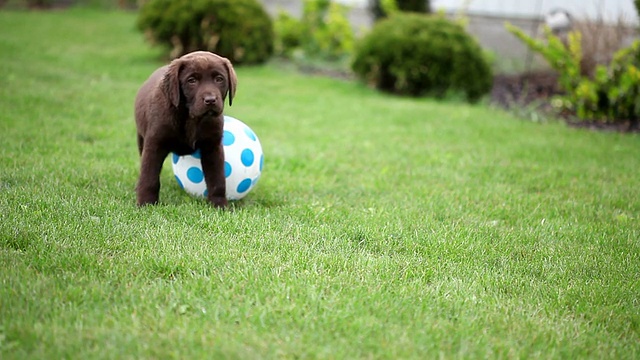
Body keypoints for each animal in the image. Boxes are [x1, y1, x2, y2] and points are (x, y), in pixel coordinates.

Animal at [134, 51, 236, 207]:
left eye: (219, 79)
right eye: (191, 80)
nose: (210, 100)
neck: (191, 118)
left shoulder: (213, 147)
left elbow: (217, 179)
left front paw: (219, 205)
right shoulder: (154, 144)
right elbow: (149, 176)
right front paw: (146, 203)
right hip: (141, 138)